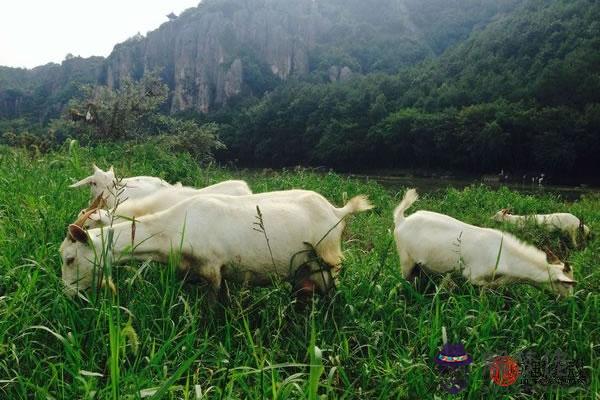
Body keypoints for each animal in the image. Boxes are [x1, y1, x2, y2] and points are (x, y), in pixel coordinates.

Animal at [394, 189, 576, 296]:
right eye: (567, 285)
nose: (571, 300)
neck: (505, 256)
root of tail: (402, 219)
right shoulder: (474, 276)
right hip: (405, 258)